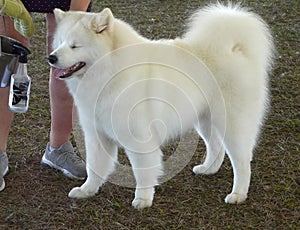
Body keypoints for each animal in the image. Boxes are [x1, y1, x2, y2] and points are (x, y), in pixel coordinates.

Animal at [47, 3, 274, 208]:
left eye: (75, 46)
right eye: (60, 42)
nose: (52, 57)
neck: (110, 72)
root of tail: (235, 50)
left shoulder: (139, 139)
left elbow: (143, 171)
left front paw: (143, 199)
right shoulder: (97, 134)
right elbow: (95, 166)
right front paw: (87, 190)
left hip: (233, 124)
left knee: (242, 161)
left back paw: (238, 194)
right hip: (205, 119)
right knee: (216, 146)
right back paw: (208, 169)